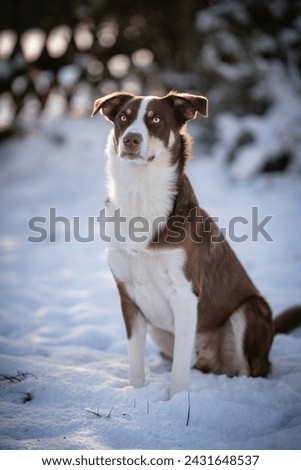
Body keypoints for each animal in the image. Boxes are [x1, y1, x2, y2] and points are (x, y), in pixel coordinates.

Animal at [91, 90, 300, 394]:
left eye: (156, 119)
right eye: (123, 118)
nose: (131, 139)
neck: (141, 193)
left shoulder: (185, 293)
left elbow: (179, 367)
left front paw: (177, 400)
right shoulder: (128, 295)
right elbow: (135, 362)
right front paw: (137, 393)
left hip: (251, 309)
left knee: (250, 370)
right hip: (160, 330)